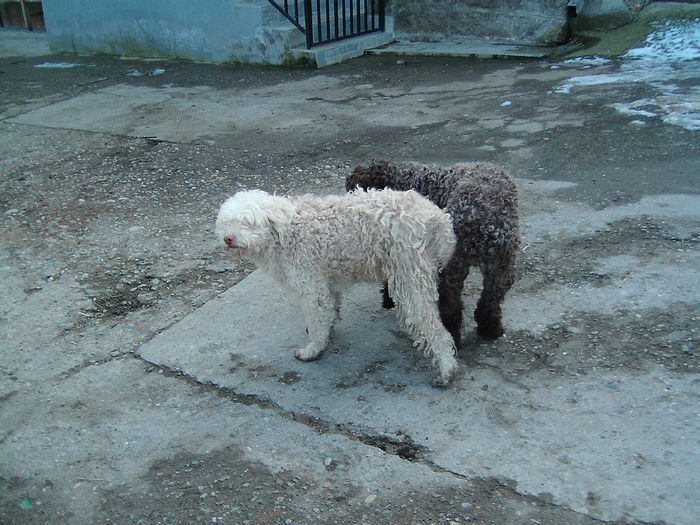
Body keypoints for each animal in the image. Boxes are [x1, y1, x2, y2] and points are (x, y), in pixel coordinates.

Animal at [216, 188, 462, 384]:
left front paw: (313, 349)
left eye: (248, 222)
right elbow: (329, 310)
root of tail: (438, 218)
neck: (286, 232)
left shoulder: (311, 285)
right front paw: (328, 328)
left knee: (433, 326)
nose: (228, 238)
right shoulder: (327, 283)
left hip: (409, 277)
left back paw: (446, 369)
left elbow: (317, 319)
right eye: (227, 223)